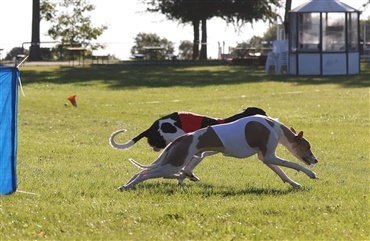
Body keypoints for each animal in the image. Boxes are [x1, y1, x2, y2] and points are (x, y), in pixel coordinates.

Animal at [118, 116, 318, 191]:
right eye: (308, 147)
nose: (315, 160)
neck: (273, 126)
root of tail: (182, 139)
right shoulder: (269, 155)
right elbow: (292, 164)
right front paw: (310, 173)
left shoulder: (265, 157)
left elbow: (282, 173)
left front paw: (295, 184)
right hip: (173, 164)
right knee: (144, 174)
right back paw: (127, 186)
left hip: (172, 161)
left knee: (141, 172)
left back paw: (126, 185)